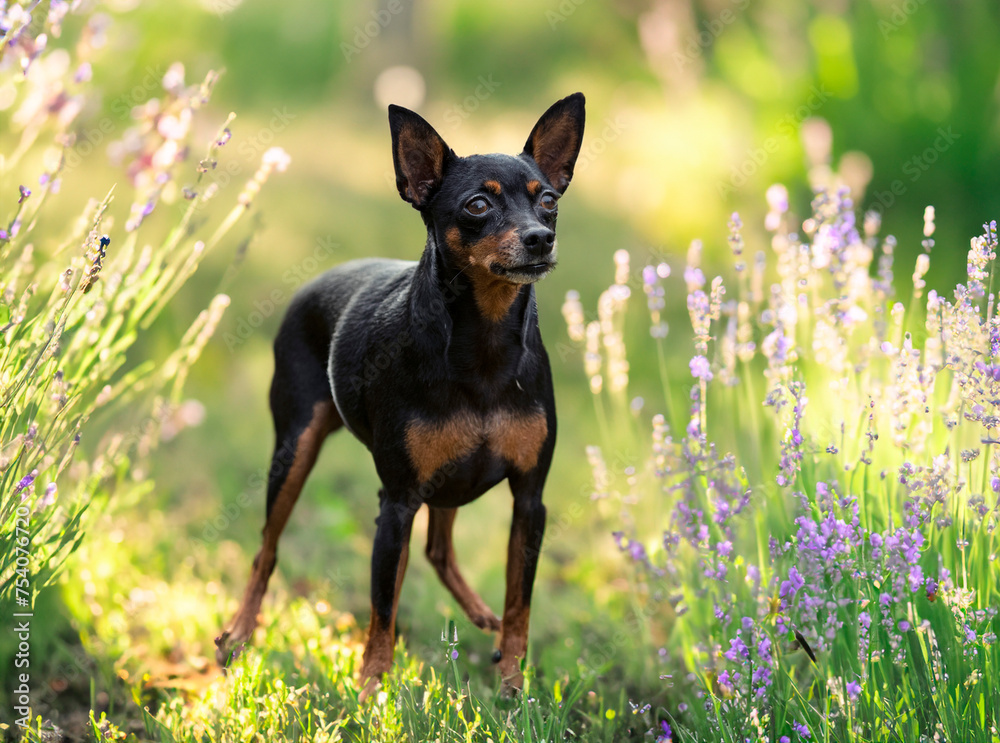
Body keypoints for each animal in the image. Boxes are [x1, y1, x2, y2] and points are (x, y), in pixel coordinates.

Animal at [215, 90, 584, 700]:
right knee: (266, 549)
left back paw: (481, 616)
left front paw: (512, 682)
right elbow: (382, 607)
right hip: (294, 451)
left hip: (447, 481)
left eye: (549, 200)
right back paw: (240, 633)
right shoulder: (397, 502)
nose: (541, 237)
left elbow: (520, 602)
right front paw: (371, 689)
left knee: (438, 549)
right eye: (477, 205)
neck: (483, 343)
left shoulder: (530, 502)